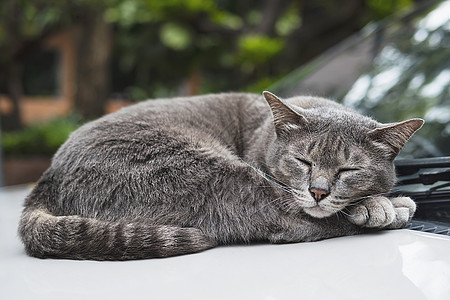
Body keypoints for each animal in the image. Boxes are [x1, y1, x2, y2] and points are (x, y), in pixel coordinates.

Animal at [18, 91, 426, 260]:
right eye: (303, 161)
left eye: (348, 169)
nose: (318, 192)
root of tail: (48, 177)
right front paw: (381, 204)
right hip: (218, 174)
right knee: (295, 224)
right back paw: (395, 207)